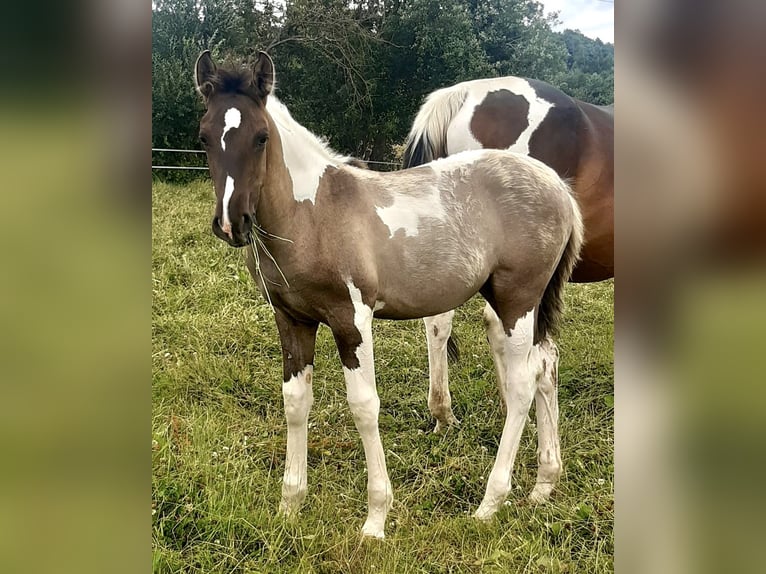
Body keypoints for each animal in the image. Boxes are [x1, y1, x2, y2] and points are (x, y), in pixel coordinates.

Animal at [195, 51, 584, 544]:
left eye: (261, 137)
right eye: (204, 137)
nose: (232, 224)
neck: (313, 216)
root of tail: (558, 186)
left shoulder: (352, 319)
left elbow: (364, 407)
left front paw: (375, 520)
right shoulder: (291, 319)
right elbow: (295, 402)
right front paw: (290, 507)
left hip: (518, 300)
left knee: (521, 383)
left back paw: (490, 503)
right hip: (518, 302)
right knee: (547, 366)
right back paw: (544, 485)